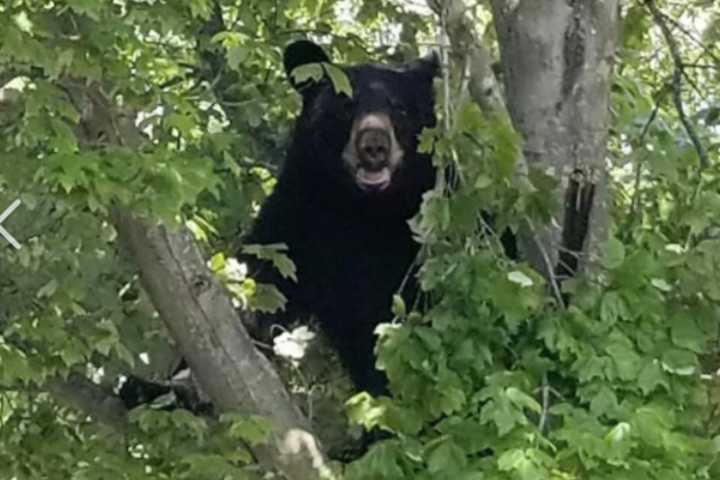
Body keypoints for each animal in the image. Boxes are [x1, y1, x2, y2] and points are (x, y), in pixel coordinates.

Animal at [243, 40, 438, 394]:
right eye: (347, 104)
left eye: (399, 108)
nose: (374, 145)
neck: (362, 209)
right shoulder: (299, 222)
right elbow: (263, 279)